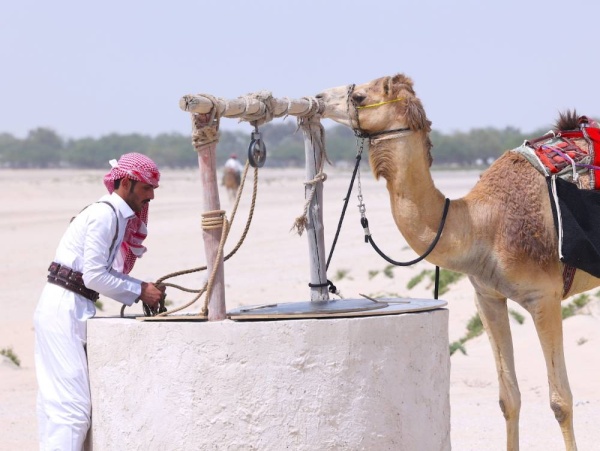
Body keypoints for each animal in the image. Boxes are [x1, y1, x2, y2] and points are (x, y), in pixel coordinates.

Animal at [316, 72, 596, 450]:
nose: (318, 97)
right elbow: (509, 398)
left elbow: (560, 401)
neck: (483, 224)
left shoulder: (545, 298)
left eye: (359, 96)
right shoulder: (488, 296)